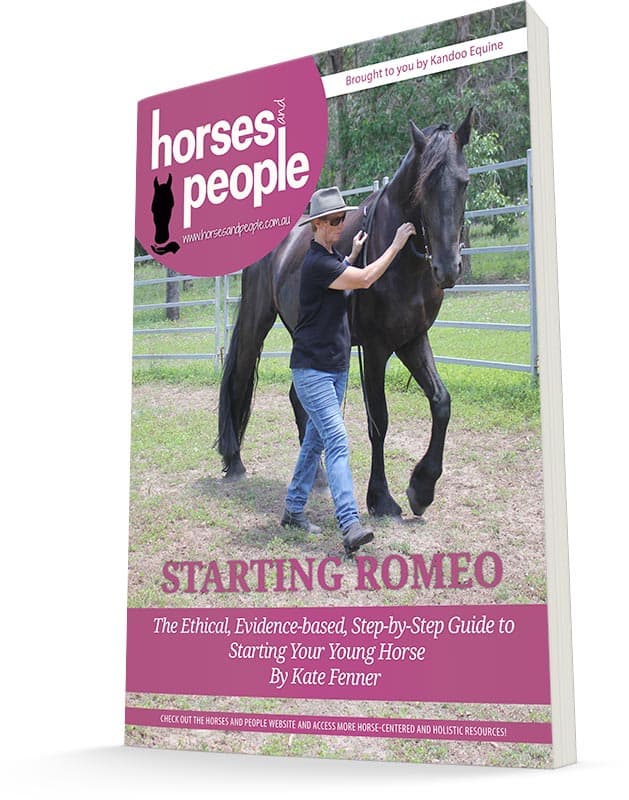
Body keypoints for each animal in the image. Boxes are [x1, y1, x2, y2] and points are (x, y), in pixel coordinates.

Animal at [217, 109, 473, 519]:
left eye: (463, 182)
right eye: (425, 185)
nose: (448, 268)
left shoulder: (412, 340)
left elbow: (442, 402)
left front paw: (422, 488)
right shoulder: (376, 348)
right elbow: (379, 421)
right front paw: (381, 498)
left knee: (298, 398)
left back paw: (318, 476)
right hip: (257, 323)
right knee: (240, 379)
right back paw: (235, 462)